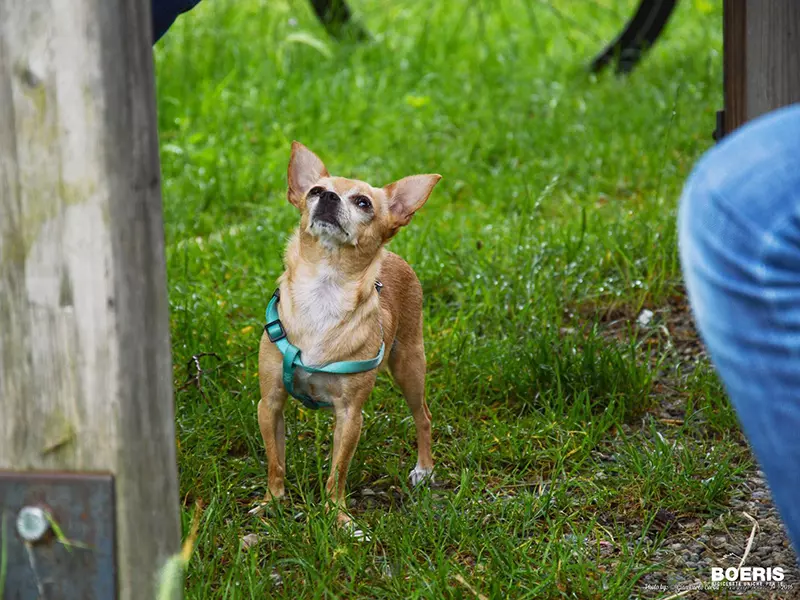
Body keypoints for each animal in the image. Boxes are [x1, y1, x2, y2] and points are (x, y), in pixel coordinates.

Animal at [258, 143, 440, 524]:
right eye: (314, 191)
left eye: (363, 203)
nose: (327, 196)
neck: (324, 291)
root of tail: (395, 256)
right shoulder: (270, 404)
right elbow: (275, 462)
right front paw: (272, 503)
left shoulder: (350, 415)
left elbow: (337, 472)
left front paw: (337, 517)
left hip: (410, 367)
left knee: (423, 416)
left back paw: (425, 469)